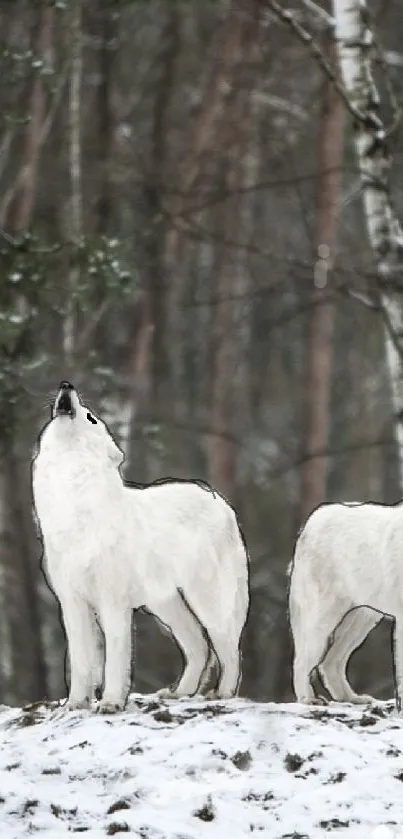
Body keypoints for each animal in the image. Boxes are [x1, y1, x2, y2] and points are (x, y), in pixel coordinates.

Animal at [33, 384, 251, 712]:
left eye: (90, 417)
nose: (67, 386)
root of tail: (220, 501)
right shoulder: (72, 603)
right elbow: (82, 663)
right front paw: (75, 704)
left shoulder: (113, 604)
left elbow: (115, 662)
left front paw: (111, 703)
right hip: (165, 605)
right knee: (199, 646)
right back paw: (178, 693)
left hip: (207, 603)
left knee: (228, 650)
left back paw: (222, 694)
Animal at [288, 502, 400, 712]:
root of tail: (313, 519)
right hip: (324, 622)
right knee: (301, 662)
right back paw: (309, 699)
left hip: (361, 622)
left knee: (330, 663)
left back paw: (351, 698)